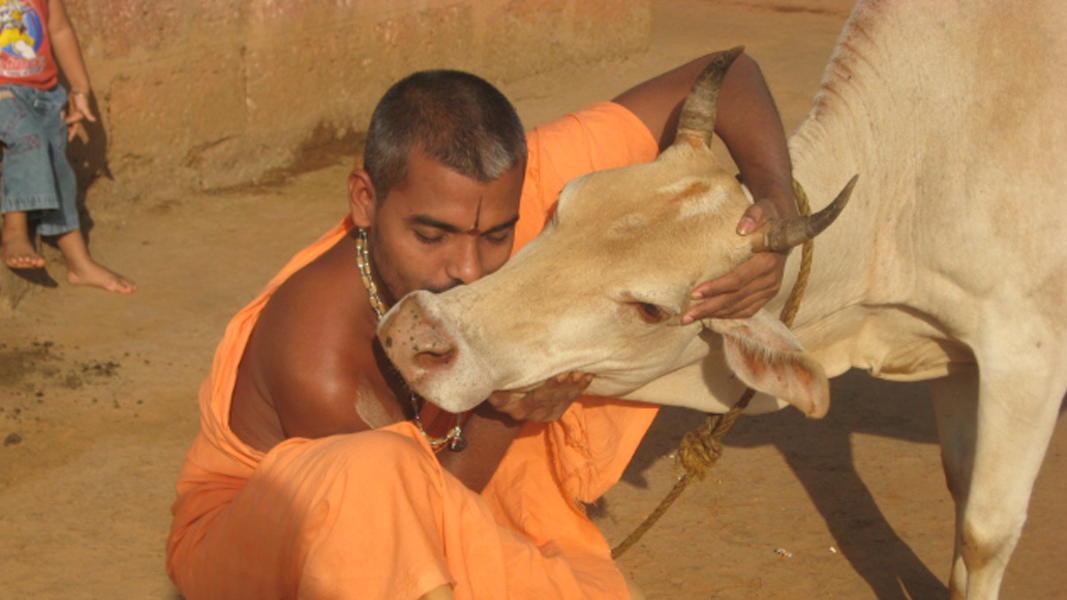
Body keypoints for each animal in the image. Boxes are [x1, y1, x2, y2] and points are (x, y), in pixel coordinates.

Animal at [381, 2, 1067, 593]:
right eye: (564, 203)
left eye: (651, 310)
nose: (417, 334)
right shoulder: (956, 359)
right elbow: (958, 487)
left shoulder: (1026, 360)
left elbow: (983, 535)